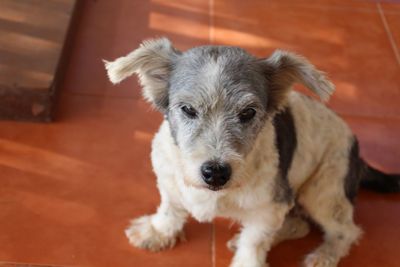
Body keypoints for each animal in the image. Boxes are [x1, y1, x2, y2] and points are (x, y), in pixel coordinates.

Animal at [104, 37, 400, 267]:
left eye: (248, 112)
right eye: (188, 109)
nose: (215, 172)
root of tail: (358, 153)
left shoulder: (271, 205)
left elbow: (255, 241)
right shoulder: (168, 178)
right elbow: (170, 208)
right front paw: (157, 232)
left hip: (323, 191)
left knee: (346, 231)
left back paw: (324, 255)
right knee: (300, 224)